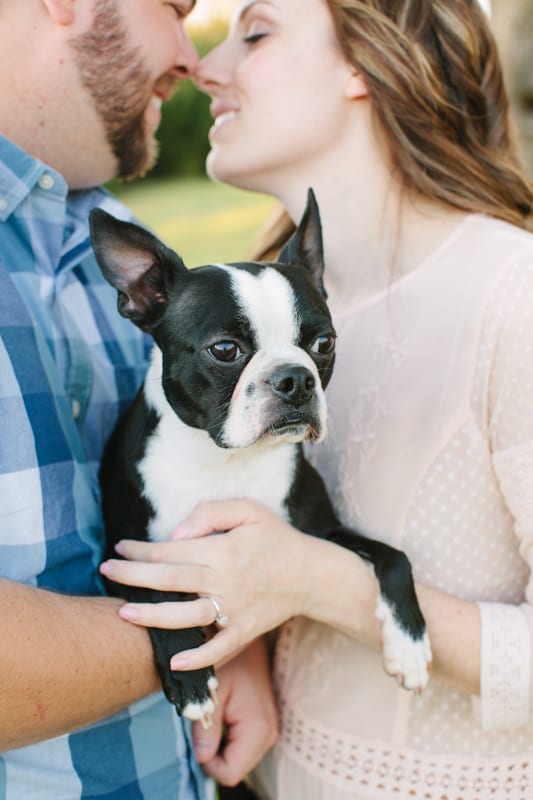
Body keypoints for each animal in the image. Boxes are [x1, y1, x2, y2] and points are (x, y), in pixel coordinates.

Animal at [89, 192, 430, 724]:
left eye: (324, 343)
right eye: (225, 349)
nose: (296, 378)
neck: (228, 463)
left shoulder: (319, 531)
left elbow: (394, 557)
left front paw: (409, 643)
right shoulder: (118, 555)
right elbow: (156, 592)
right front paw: (189, 673)